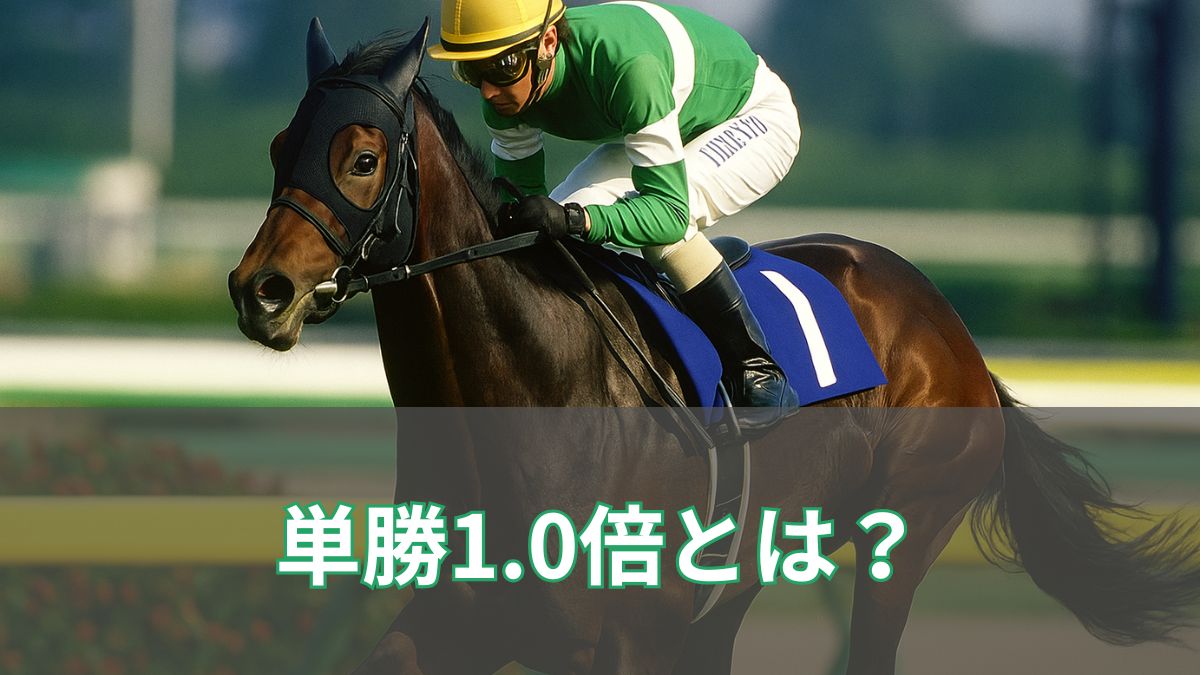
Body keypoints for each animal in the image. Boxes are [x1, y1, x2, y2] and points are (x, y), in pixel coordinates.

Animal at [228, 21, 1200, 675]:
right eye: (279, 145)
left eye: (361, 157)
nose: (259, 291)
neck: (536, 393)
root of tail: (953, 331)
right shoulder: (454, 620)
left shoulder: (620, 640)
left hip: (909, 527)